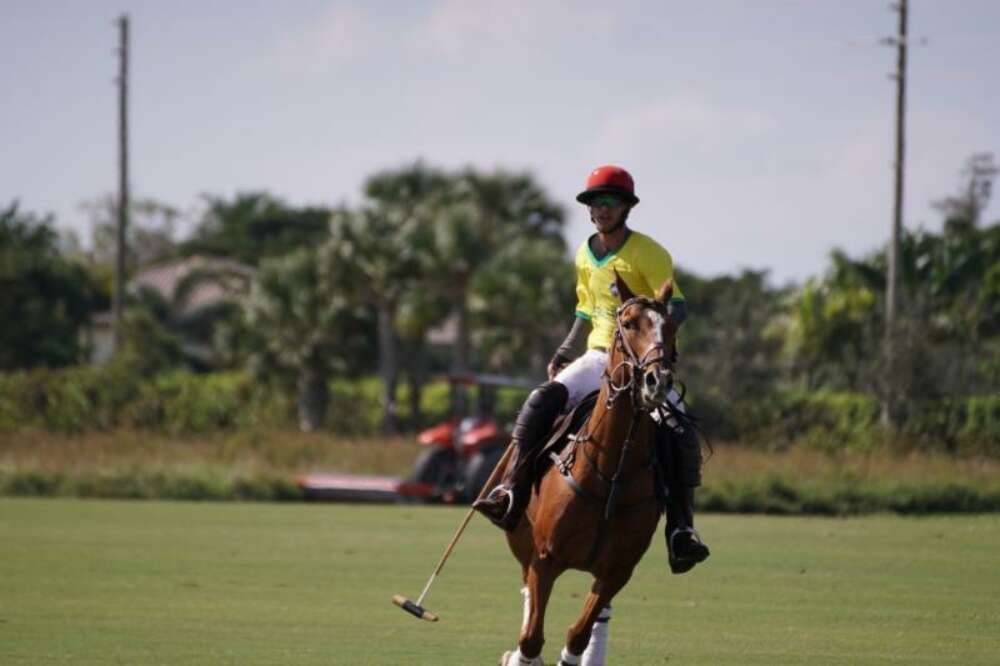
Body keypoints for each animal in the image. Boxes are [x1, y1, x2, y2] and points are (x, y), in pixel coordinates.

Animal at [498, 272, 680, 660]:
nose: (657, 381)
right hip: (521, 543)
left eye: (671, 327)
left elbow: (577, 635)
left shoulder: (617, 570)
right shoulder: (545, 558)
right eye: (628, 323)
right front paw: (520, 657)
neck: (611, 470)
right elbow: (531, 638)